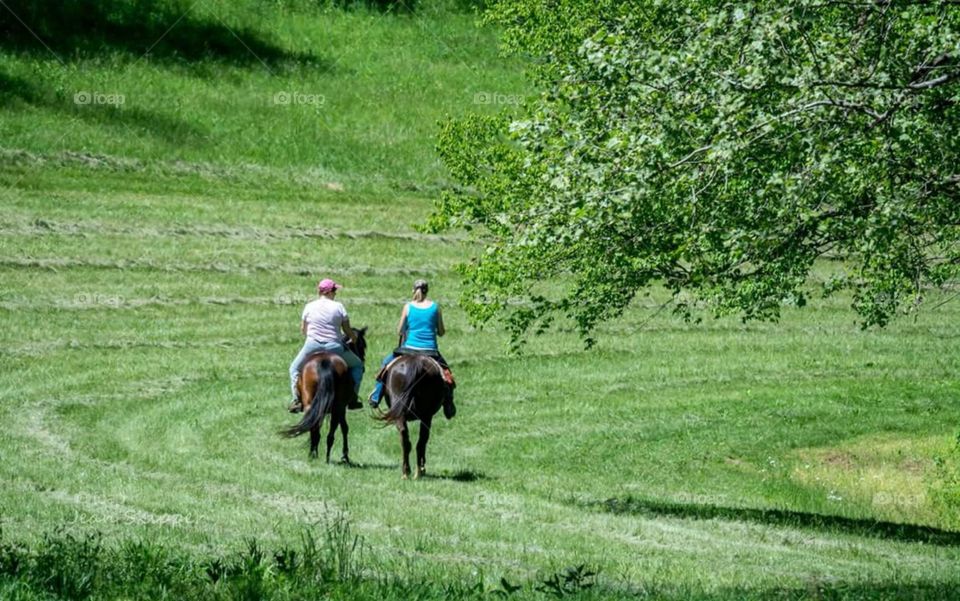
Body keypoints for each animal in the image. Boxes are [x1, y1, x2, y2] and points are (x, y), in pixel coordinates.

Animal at [284, 330, 368, 462]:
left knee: (315, 429)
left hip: (313, 405)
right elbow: (345, 428)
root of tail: (324, 361)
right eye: (362, 345)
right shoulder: (342, 408)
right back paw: (325, 456)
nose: (363, 364)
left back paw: (314, 454)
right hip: (337, 407)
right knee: (329, 431)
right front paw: (345, 455)